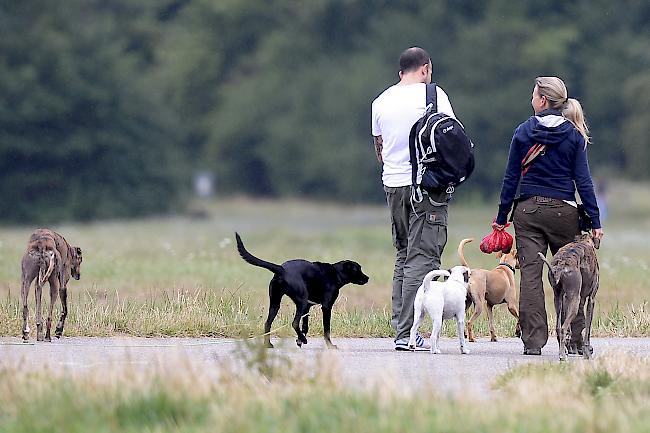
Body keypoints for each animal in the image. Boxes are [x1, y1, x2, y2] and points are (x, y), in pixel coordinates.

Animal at [234, 233, 368, 348]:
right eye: (358, 269)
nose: (367, 278)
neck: (336, 274)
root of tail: (281, 269)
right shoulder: (326, 307)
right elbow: (326, 330)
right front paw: (329, 345)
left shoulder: (308, 307)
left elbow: (305, 326)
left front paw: (299, 340)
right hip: (301, 301)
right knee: (294, 323)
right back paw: (303, 340)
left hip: (276, 303)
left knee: (268, 323)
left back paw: (268, 344)